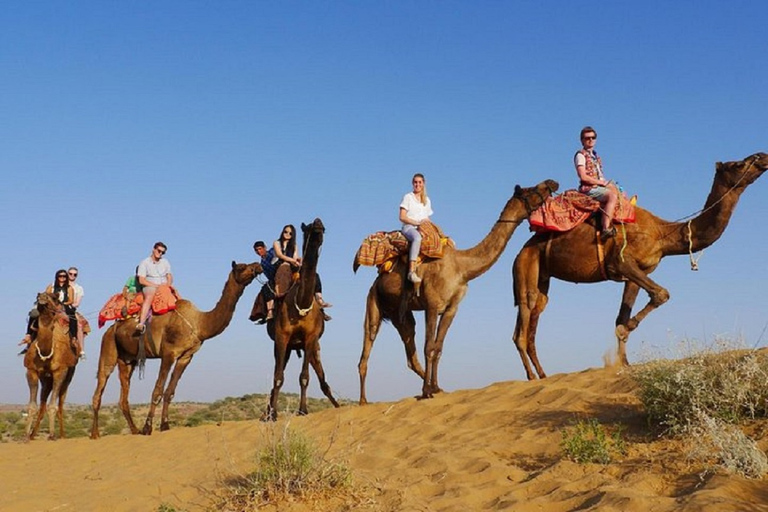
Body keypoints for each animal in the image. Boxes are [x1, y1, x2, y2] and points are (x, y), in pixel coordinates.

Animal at [24, 292, 81, 440]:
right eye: (37, 295)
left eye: (54, 297)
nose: (42, 297)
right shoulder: (31, 370)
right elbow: (32, 406)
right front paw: (26, 436)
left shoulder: (60, 371)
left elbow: (53, 406)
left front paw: (51, 434)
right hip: (46, 379)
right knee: (43, 402)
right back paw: (33, 434)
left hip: (69, 375)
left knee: (60, 404)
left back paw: (62, 435)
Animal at [91, 262, 260, 438]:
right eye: (241, 267)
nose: (257, 265)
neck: (199, 323)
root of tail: (111, 329)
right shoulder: (168, 354)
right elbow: (157, 391)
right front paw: (147, 427)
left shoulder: (186, 357)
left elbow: (170, 392)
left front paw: (164, 425)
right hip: (108, 347)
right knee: (100, 387)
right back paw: (95, 433)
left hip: (127, 360)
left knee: (123, 396)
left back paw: (134, 430)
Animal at [264, 218, 340, 422]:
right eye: (308, 228)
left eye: (322, 228)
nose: (318, 224)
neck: (301, 302)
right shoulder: (282, 337)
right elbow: (277, 377)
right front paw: (273, 415)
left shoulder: (310, 338)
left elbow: (304, 377)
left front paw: (303, 410)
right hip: (285, 346)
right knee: (278, 372)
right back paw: (267, 412)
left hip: (310, 347)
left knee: (322, 379)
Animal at [356, 180, 560, 404]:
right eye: (531, 189)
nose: (551, 183)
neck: (462, 268)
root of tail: (376, 280)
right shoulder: (432, 305)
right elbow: (429, 346)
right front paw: (427, 392)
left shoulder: (451, 308)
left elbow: (438, 347)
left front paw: (435, 387)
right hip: (373, 303)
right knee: (366, 347)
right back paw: (363, 401)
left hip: (401, 315)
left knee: (410, 352)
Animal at [510, 150, 768, 378]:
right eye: (737, 165)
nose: (762, 156)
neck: (663, 234)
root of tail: (522, 249)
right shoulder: (621, 262)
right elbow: (661, 294)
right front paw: (628, 333)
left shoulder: (637, 272)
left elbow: (621, 317)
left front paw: (625, 364)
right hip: (526, 266)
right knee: (524, 316)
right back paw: (533, 377)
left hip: (542, 276)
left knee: (534, 316)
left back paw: (540, 375)